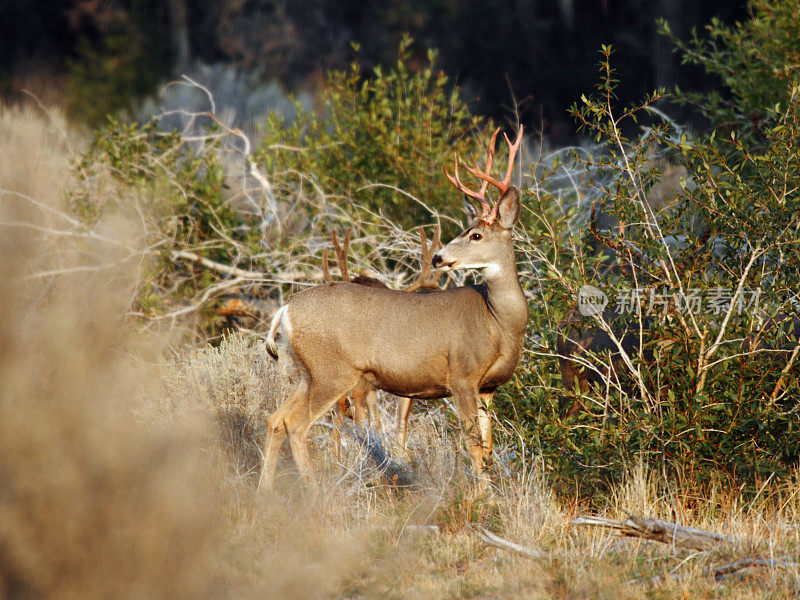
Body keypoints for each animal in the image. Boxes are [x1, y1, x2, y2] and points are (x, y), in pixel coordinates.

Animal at [262, 125, 524, 488]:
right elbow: (473, 446)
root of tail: (285, 311)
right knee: (297, 426)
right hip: (334, 372)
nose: (438, 257)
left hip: (307, 372)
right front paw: (483, 496)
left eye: (475, 236)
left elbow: (486, 445)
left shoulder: (489, 386)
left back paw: (265, 491)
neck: (499, 320)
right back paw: (314, 493)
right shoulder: (462, 375)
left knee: (275, 418)